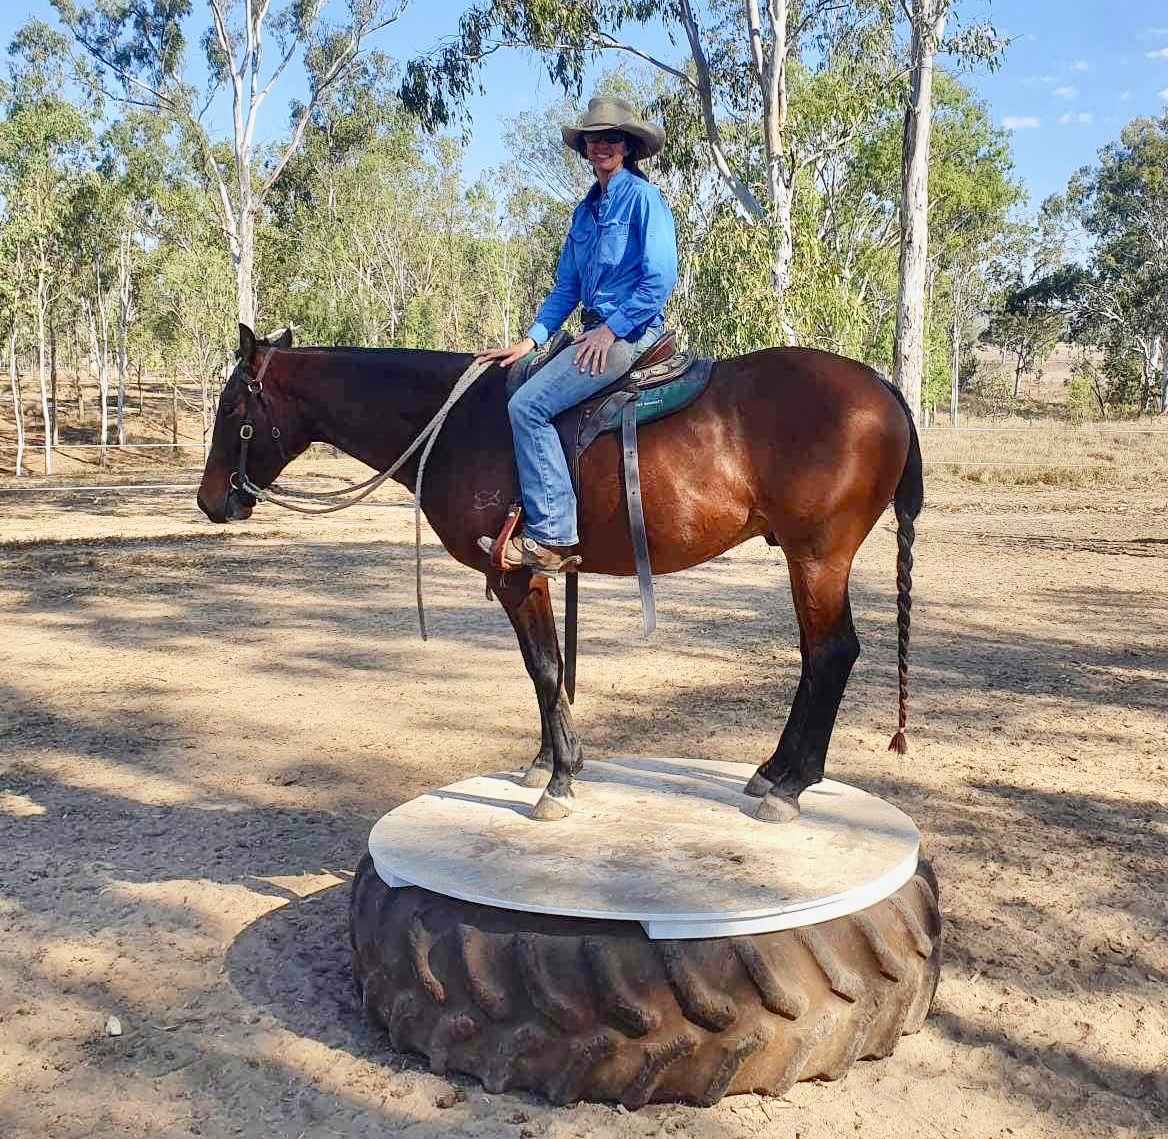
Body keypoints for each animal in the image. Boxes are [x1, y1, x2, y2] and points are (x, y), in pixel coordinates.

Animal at [197, 324, 922, 824]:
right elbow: (540, 668)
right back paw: (775, 770)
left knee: (831, 653)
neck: (460, 422)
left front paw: (562, 778)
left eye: (232, 407)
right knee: (816, 657)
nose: (210, 501)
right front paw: (545, 760)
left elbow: (547, 667)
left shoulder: (516, 577)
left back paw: (792, 785)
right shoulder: (531, 577)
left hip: (818, 556)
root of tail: (885, 390)